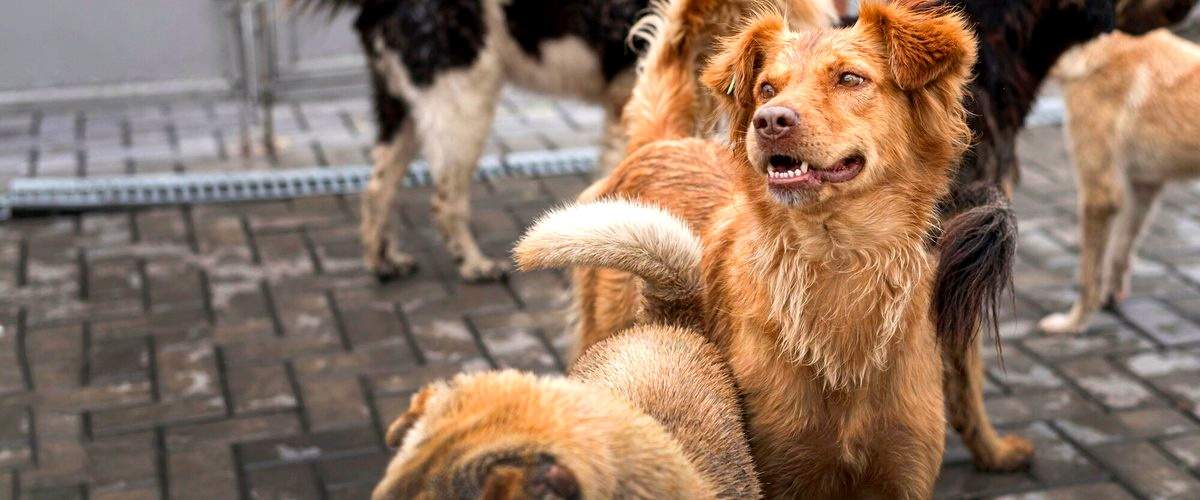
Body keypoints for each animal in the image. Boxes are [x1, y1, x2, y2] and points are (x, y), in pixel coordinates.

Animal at [307, 0, 835, 280]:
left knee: (378, 185)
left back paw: (383, 260)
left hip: (405, 103)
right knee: (445, 197)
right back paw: (474, 264)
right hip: (461, 99)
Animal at [516, 0, 1032, 494]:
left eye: (851, 78)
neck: (837, 262)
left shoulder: (901, 474)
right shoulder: (771, 467)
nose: (770, 121)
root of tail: (662, 142)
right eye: (767, 88)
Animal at [1041, 27, 1200, 333]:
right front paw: (1110, 300)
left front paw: (1073, 324)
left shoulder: (1098, 194)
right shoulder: (1143, 186)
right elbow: (1120, 252)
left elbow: (1088, 276)